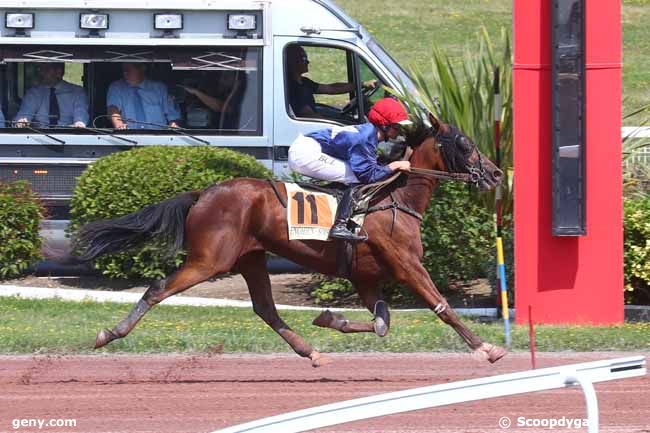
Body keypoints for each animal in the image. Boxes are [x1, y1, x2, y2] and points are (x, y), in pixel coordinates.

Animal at [69, 113, 506, 366]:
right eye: (465, 144)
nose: (496, 173)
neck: (395, 199)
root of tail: (203, 192)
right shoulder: (406, 265)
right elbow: (442, 307)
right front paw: (487, 348)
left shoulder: (367, 277)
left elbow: (381, 323)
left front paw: (329, 318)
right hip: (209, 261)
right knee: (158, 288)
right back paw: (109, 334)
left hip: (250, 258)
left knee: (265, 308)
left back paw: (311, 351)